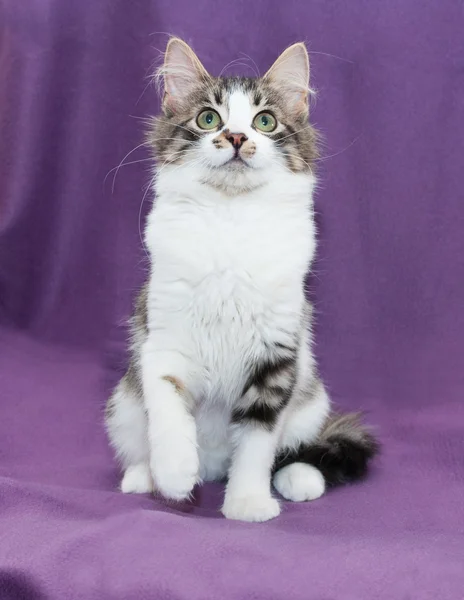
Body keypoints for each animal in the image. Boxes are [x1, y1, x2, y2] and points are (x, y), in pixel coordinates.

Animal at [107, 37, 378, 524]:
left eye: (264, 121)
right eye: (208, 118)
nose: (236, 137)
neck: (231, 218)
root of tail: (215, 465)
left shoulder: (278, 356)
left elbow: (256, 445)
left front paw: (247, 503)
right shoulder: (164, 340)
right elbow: (169, 409)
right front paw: (175, 473)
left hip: (312, 399)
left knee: (295, 449)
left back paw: (297, 480)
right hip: (123, 404)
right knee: (139, 443)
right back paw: (147, 477)